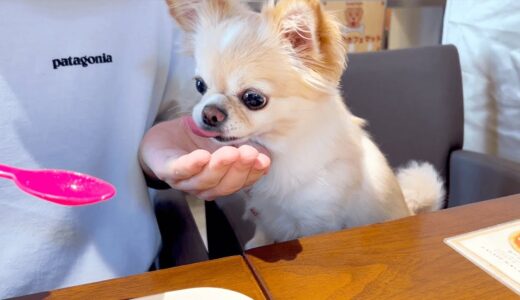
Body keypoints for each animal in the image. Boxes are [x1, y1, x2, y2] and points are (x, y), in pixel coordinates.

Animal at [166, 0, 442, 248]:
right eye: (199, 85)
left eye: (254, 99)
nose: (209, 113)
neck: (282, 146)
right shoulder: (263, 211)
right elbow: (263, 232)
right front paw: (255, 244)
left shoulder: (316, 220)